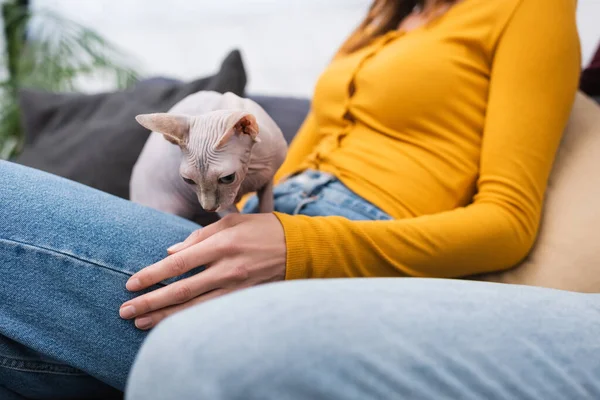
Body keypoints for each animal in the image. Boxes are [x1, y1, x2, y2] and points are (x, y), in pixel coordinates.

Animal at [131, 91, 288, 222]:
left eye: (228, 178)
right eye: (188, 180)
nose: (209, 208)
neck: (252, 168)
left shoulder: (267, 182)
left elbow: (266, 210)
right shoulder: (223, 203)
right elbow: (232, 217)